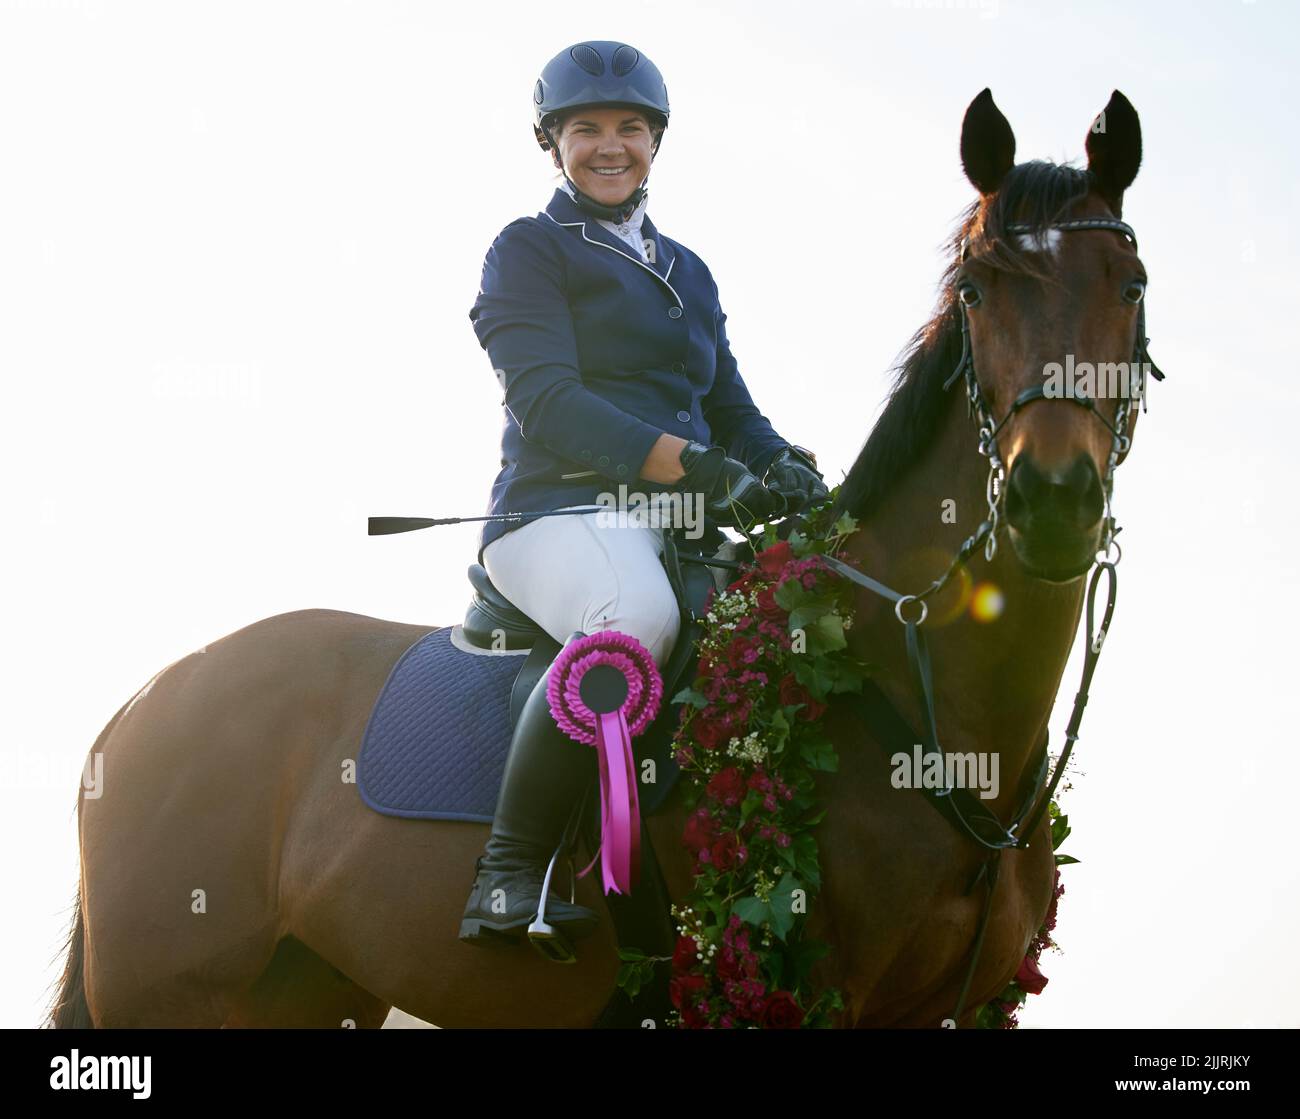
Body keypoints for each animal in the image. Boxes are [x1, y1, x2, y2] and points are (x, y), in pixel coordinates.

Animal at [48, 89, 1159, 1029]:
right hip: (172, 994)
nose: (1050, 499)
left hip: (305, 989)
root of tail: (144, 699)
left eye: (1132, 284)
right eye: (976, 289)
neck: (919, 700)